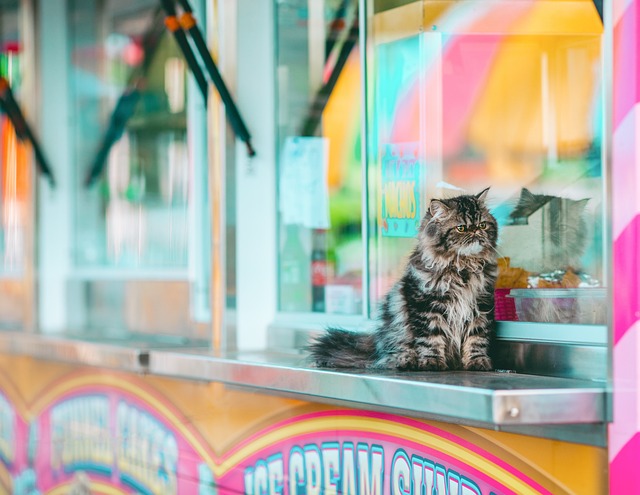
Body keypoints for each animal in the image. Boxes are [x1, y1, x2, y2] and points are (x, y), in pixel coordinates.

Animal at [308, 190, 498, 372]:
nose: (476, 231)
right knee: (394, 355)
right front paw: (432, 362)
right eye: (461, 228)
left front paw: (477, 362)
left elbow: (477, 339)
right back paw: (408, 361)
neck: (463, 268)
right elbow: (431, 339)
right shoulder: (426, 306)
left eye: (482, 225)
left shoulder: (480, 306)